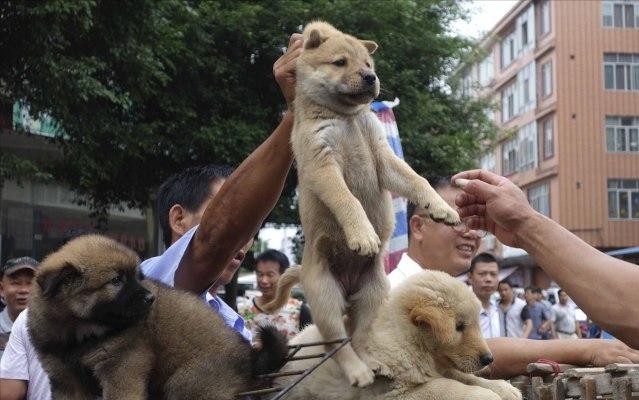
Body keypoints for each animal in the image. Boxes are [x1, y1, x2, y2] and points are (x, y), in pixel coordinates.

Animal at [27, 234, 288, 400]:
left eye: (138, 276)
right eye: (116, 280)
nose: (151, 298)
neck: (80, 331)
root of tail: (250, 355)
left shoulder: (122, 367)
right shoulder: (64, 379)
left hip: (188, 382)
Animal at [264, 21, 460, 388]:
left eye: (368, 65)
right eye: (340, 62)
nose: (370, 78)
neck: (347, 119)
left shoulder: (383, 157)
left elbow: (417, 180)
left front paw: (441, 207)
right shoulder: (322, 163)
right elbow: (348, 200)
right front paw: (362, 234)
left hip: (374, 292)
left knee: (361, 336)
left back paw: (373, 363)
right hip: (325, 297)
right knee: (337, 344)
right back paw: (358, 372)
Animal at [278, 268, 524, 400]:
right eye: (460, 327)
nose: (489, 359)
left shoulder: (442, 367)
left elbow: (468, 377)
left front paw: (504, 388)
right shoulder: (396, 391)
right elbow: (448, 386)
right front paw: (488, 395)